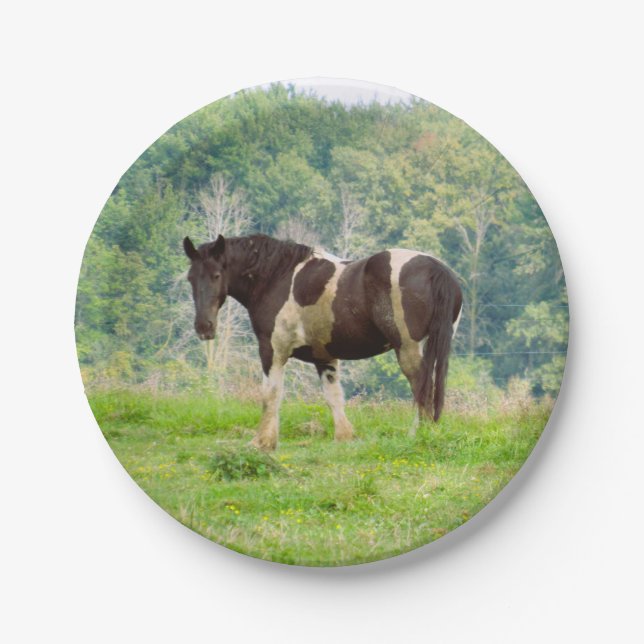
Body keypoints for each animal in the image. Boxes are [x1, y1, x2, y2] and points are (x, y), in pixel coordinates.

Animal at [183, 233, 463, 451]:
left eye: (216, 275)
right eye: (191, 278)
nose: (204, 327)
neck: (277, 277)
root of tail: (436, 269)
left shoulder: (272, 352)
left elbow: (271, 394)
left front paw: (263, 442)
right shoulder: (324, 357)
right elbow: (333, 397)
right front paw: (344, 437)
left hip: (408, 349)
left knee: (421, 387)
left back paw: (418, 435)